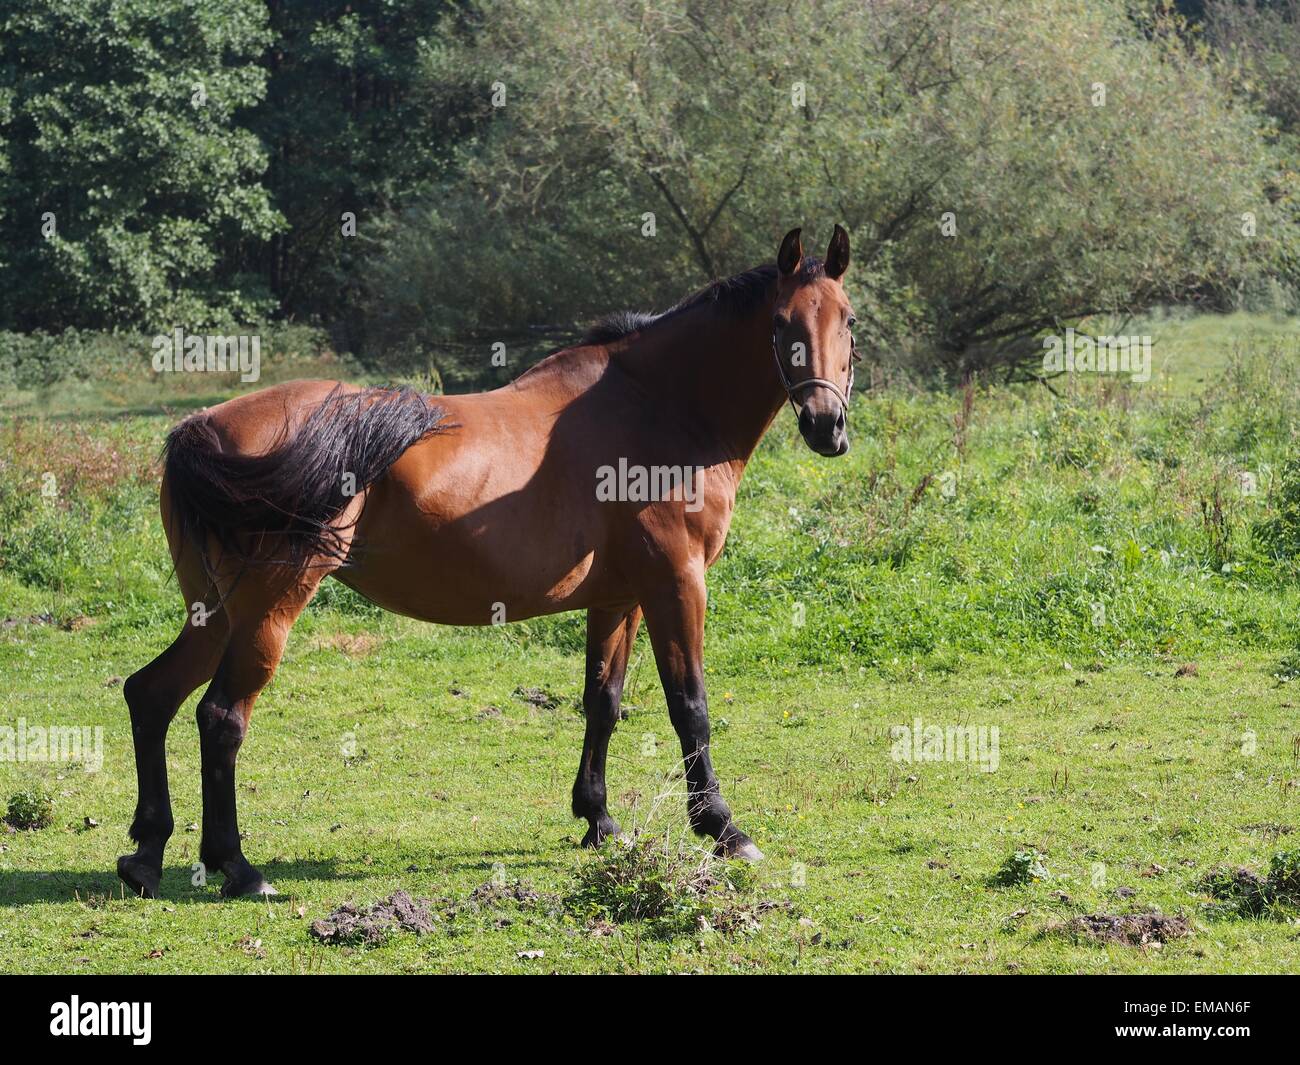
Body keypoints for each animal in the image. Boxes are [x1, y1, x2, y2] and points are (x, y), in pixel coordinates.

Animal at [118, 225, 858, 898]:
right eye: (782, 324)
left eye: (848, 321)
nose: (828, 425)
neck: (657, 406)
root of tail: (203, 428)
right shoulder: (676, 584)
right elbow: (690, 705)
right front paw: (722, 827)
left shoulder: (617, 596)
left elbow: (603, 700)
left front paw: (597, 818)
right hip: (267, 611)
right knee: (221, 718)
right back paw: (238, 867)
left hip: (214, 613)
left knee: (151, 693)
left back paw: (147, 853)